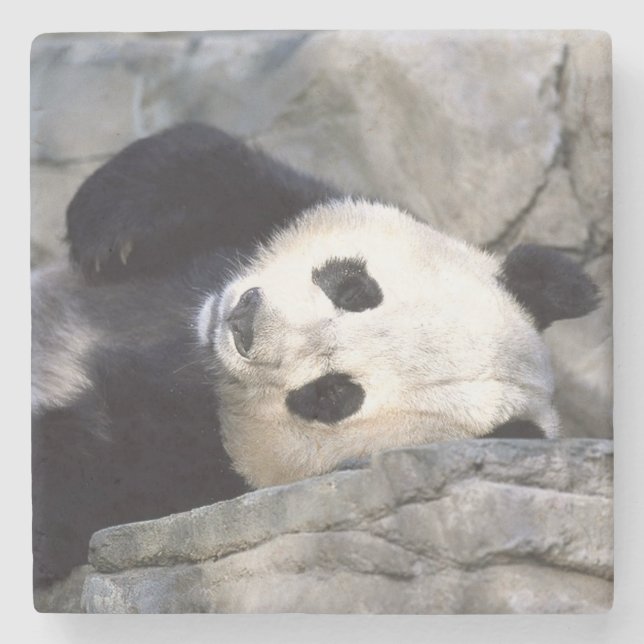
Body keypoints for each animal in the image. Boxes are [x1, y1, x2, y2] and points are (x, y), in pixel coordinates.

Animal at [31, 123, 599, 587]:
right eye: (354, 289)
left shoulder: (202, 479)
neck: (191, 343)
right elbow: (228, 172)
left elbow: (98, 476)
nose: (243, 322)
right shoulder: (284, 205)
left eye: (331, 395)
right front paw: (107, 227)